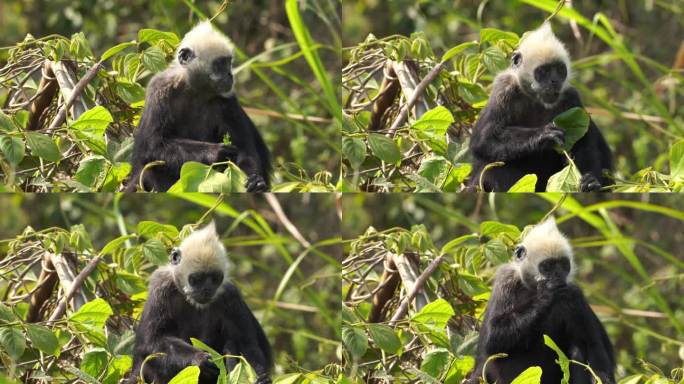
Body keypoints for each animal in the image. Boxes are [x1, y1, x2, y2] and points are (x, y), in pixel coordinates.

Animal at [127, 222, 272, 384]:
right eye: (197, 279)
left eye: (215, 279)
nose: (207, 289)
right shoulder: (160, 286)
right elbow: (151, 341)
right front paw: (199, 359)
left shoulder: (230, 296)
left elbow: (246, 345)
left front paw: (260, 378)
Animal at [464, 219, 616, 384]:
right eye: (547, 266)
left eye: (563, 265)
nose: (558, 275)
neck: (532, 290)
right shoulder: (506, 280)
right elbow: (492, 338)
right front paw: (547, 295)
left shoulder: (575, 296)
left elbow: (593, 345)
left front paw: (600, 375)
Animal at [468, 23, 612, 191]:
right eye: (544, 71)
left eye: (560, 70)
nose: (555, 81)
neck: (535, 99)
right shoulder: (503, 88)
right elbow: (483, 140)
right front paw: (543, 134)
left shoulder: (571, 98)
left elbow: (583, 144)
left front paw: (590, 181)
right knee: (494, 170)